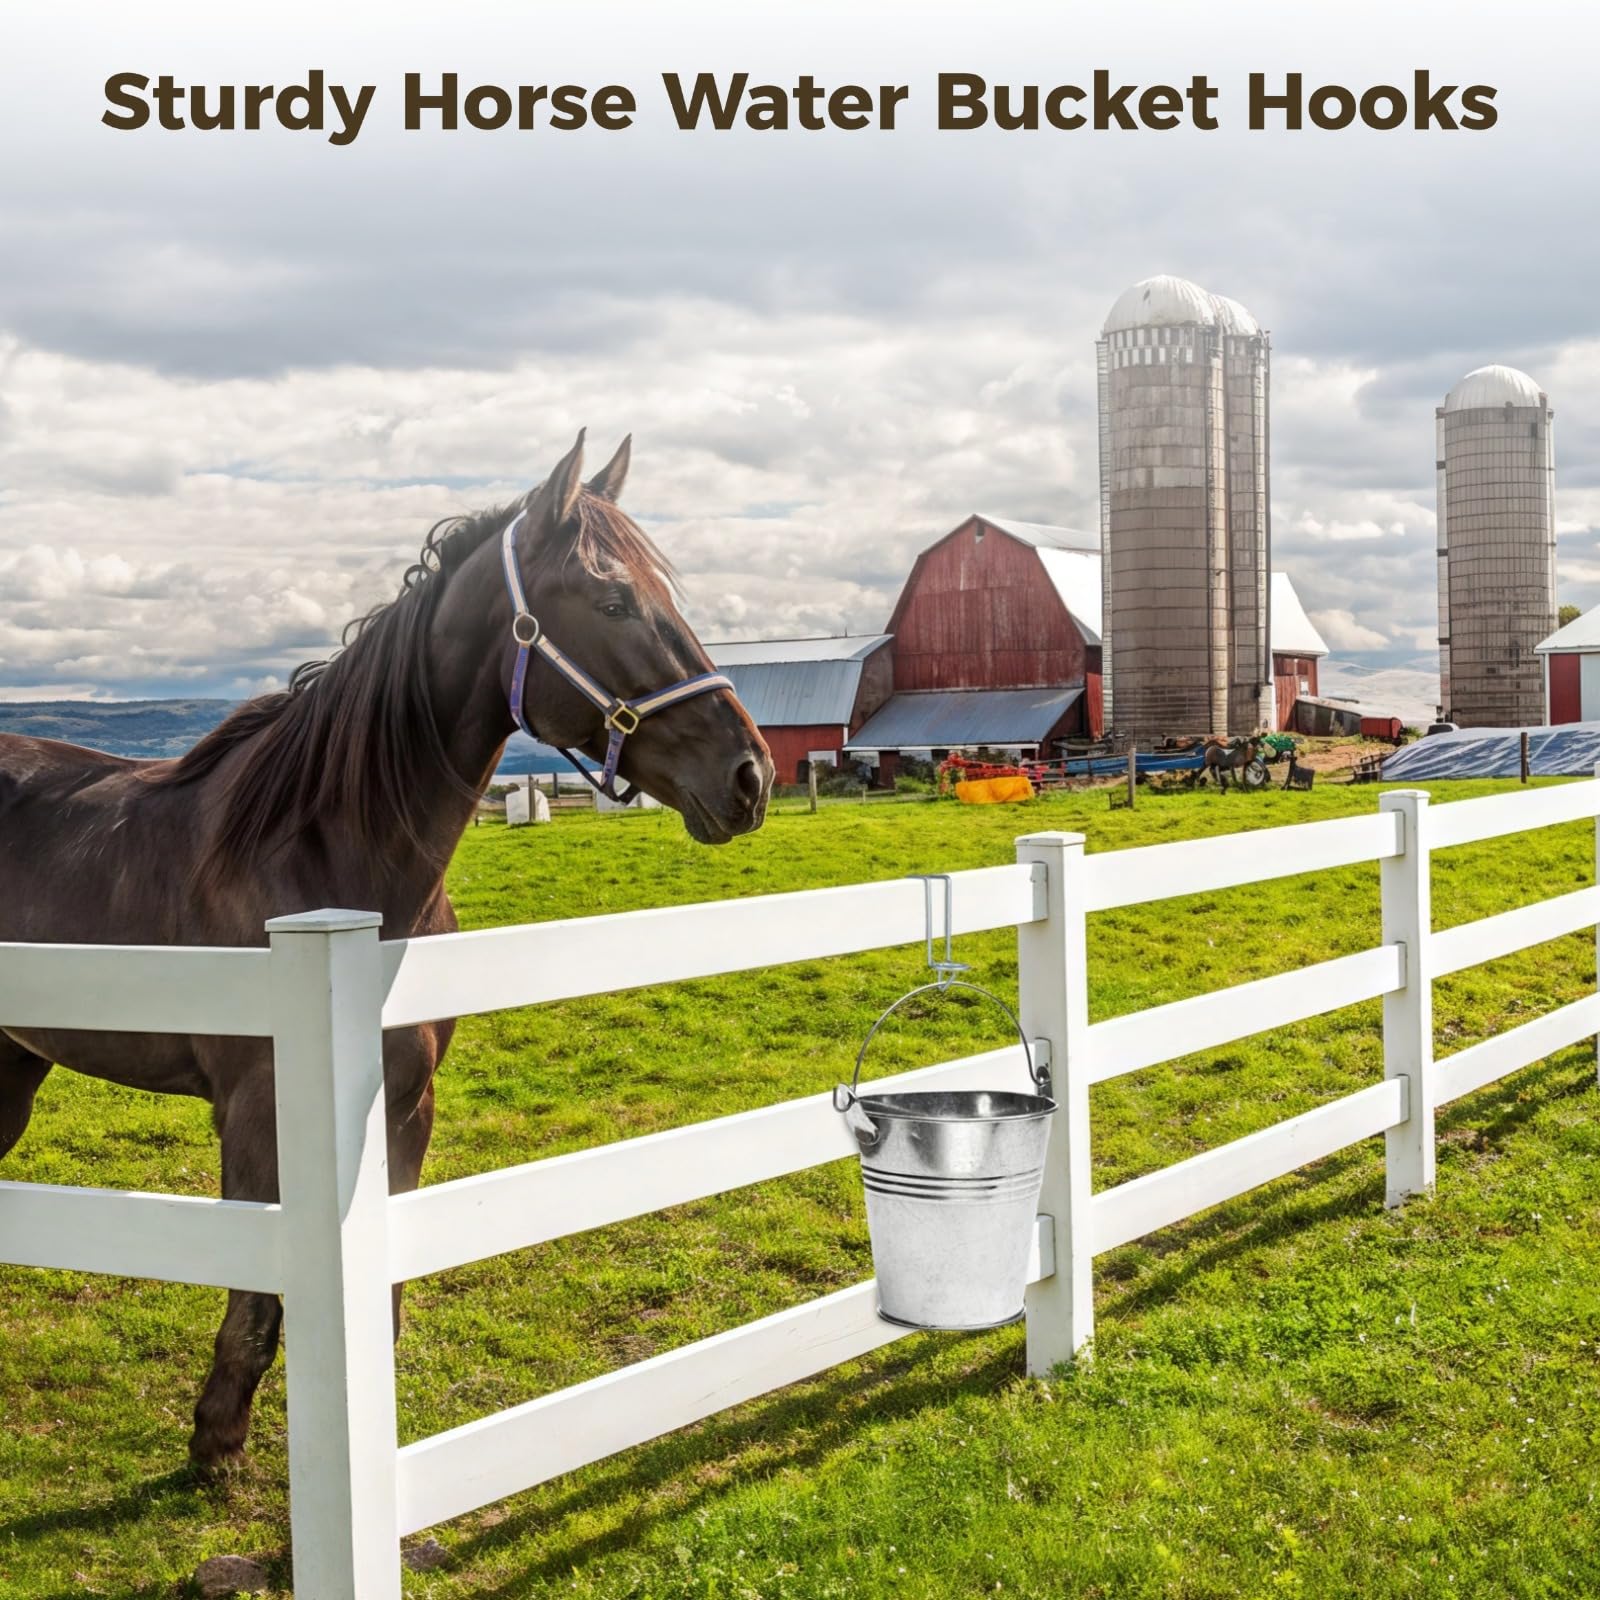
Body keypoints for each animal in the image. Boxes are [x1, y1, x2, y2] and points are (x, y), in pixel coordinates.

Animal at [0, 432, 773, 1471]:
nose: (749, 776)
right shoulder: (259, 1117)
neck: (331, 860)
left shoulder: (406, 1102)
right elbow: (256, 1306)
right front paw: (216, 1442)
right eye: (613, 602)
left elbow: (390, 1298)